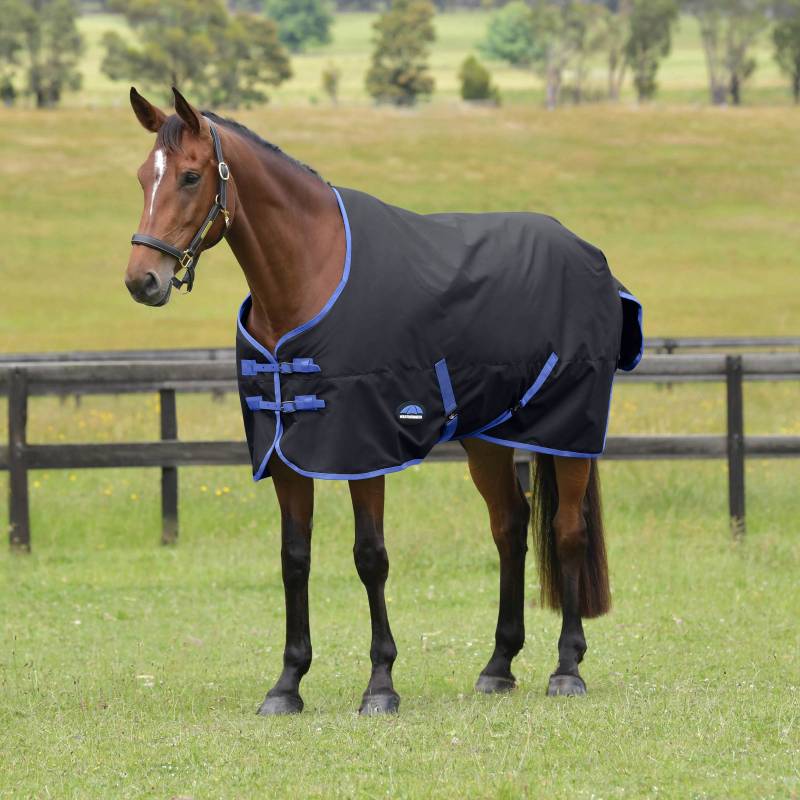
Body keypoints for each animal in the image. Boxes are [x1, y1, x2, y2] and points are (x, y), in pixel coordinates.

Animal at [123, 87, 643, 716]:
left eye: (192, 176)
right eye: (142, 178)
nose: (142, 280)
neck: (310, 277)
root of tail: (589, 254)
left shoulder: (362, 449)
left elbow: (370, 556)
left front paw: (380, 684)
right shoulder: (285, 455)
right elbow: (294, 558)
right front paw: (287, 684)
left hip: (566, 433)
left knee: (567, 530)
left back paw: (567, 668)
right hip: (487, 437)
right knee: (510, 526)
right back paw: (498, 664)